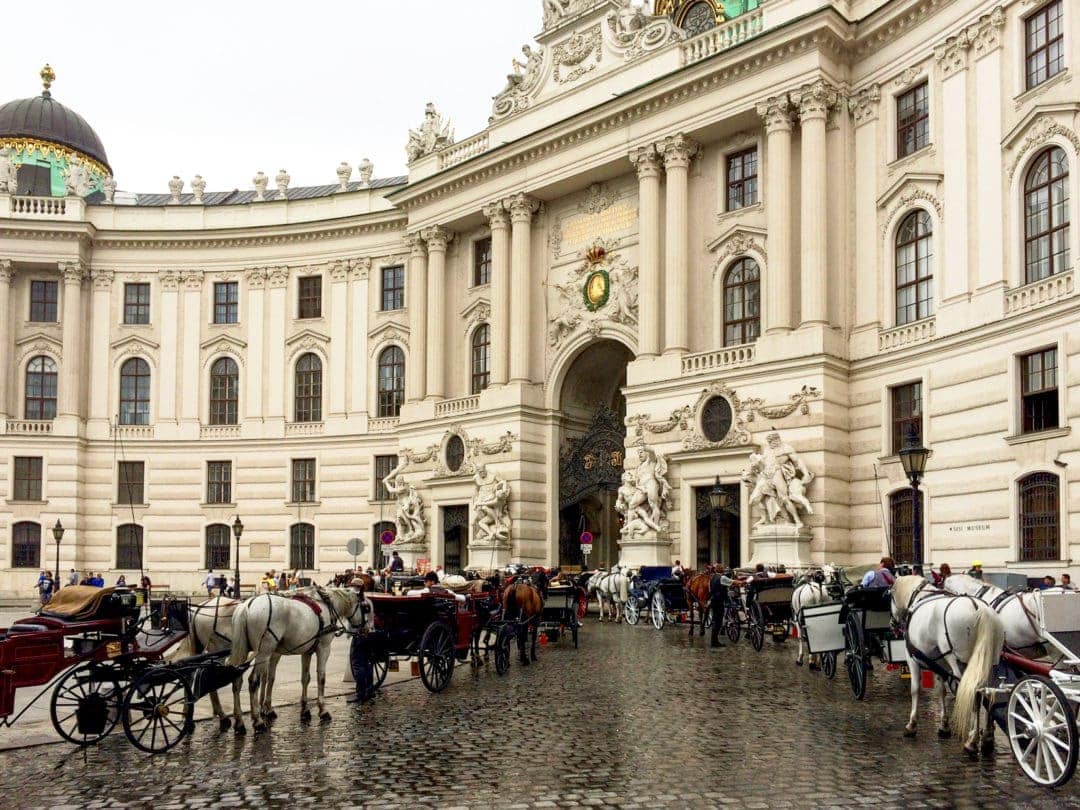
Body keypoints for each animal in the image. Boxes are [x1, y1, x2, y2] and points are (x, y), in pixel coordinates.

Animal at [227, 583, 371, 734]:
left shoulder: (306, 652)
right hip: (264, 652)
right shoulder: (324, 648)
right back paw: (257, 721)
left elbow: (305, 678)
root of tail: (247, 605)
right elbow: (321, 678)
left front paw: (305, 710)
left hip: (244, 651)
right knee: (253, 681)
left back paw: (239, 722)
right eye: (366, 608)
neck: (327, 605)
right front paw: (323, 710)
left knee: (237, 681)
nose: (367, 629)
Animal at [894, 578, 1002, 756]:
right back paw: (987, 737)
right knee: (987, 692)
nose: (893, 624)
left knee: (972, 692)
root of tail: (978, 607)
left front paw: (911, 725)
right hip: (989, 663)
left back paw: (972, 741)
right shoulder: (939, 663)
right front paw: (944, 725)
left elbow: (915, 689)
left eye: (890, 595)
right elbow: (941, 691)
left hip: (959, 662)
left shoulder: (912, 659)